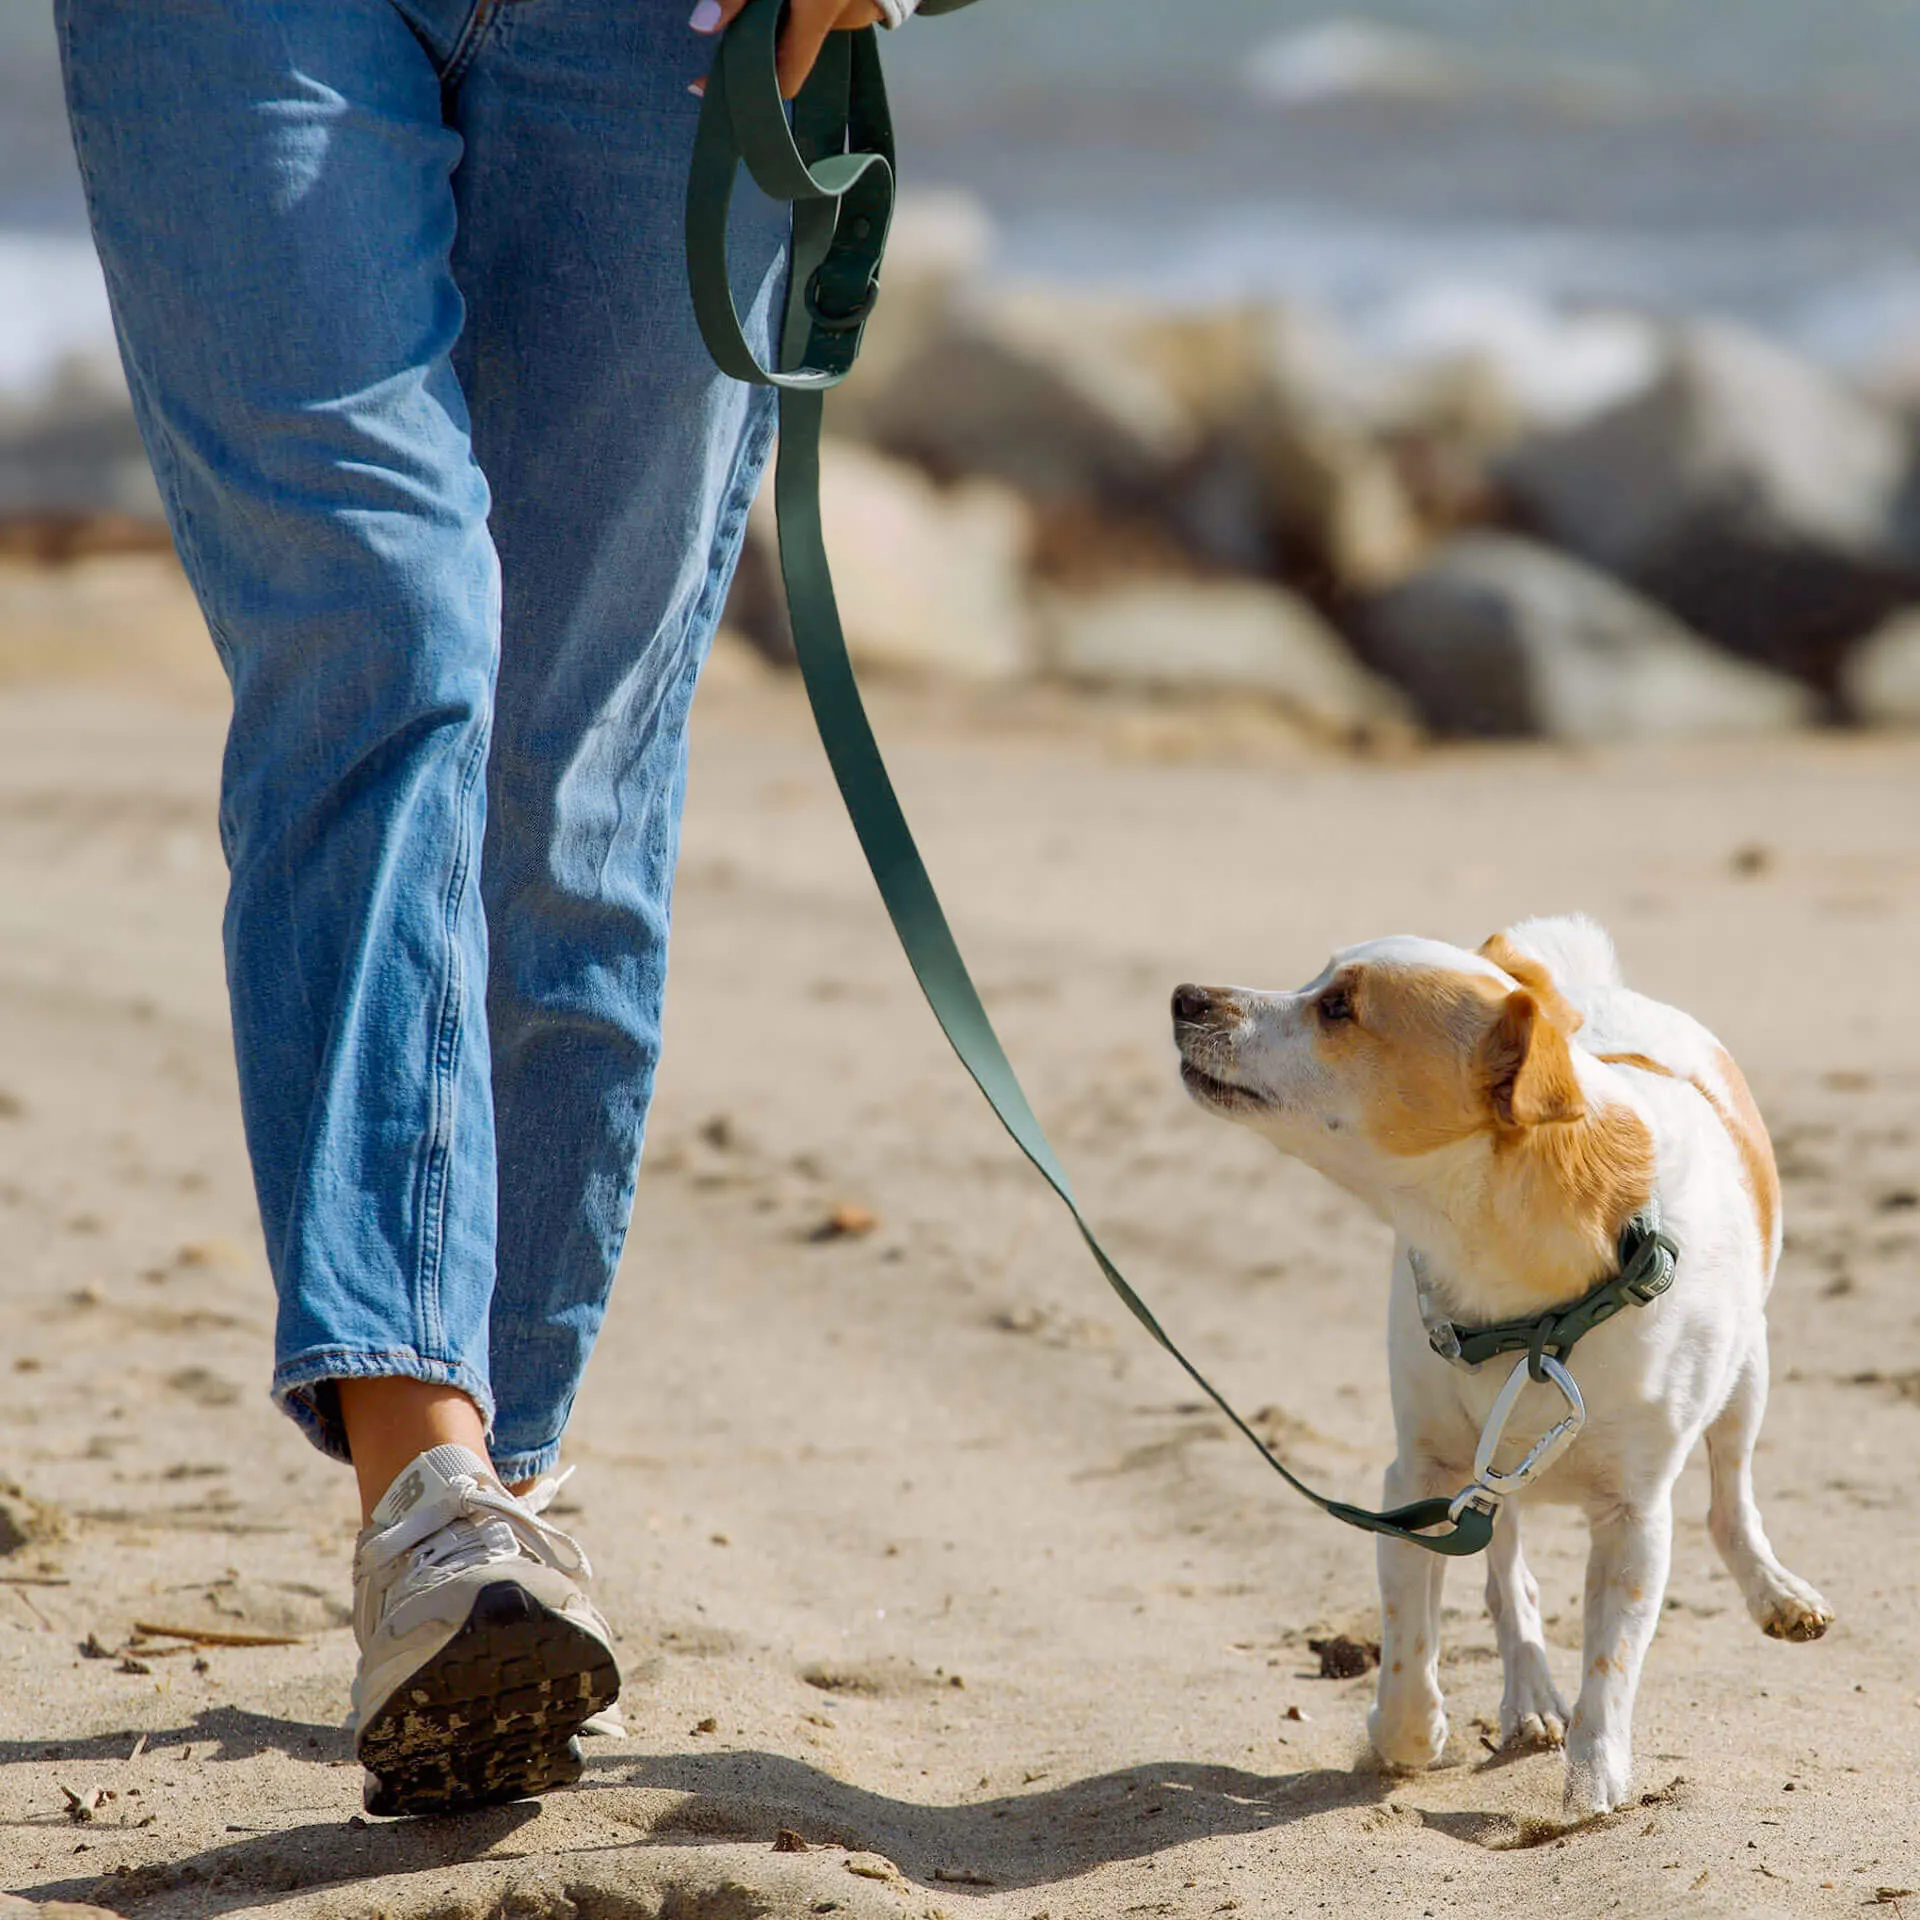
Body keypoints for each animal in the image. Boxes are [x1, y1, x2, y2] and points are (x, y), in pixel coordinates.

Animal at [1167, 913, 1827, 1812]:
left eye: (1337, 1008)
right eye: (1318, 983)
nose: (1185, 997)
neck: (1528, 1304)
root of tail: (1583, 992)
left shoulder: (1635, 1516)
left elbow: (1612, 1661)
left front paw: (1593, 1781)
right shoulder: (1416, 1479)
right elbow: (1411, 1643)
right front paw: (1405, 1736)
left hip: (1747, 1376)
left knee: (1731, 1500)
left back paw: (1774, 1591)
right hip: (1488, 1473)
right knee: (1509, 1575)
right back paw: (1529, 1695)